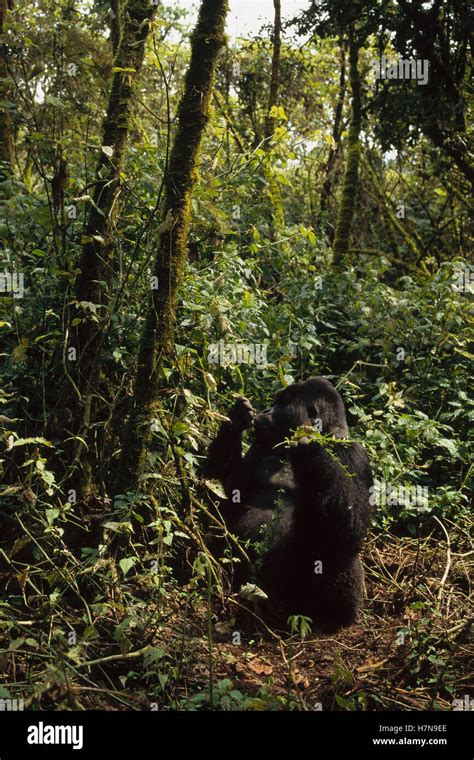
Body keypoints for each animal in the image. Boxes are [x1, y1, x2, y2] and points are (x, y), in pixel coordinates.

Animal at [207, 378, 374, 632]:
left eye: (282, 404)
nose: (266, 410)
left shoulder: (355, 454)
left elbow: (351, 528)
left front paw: (309, 447)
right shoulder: (261, 445)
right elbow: (231, 491)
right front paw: (236, 419)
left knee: (338, 553)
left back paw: (334, 617)